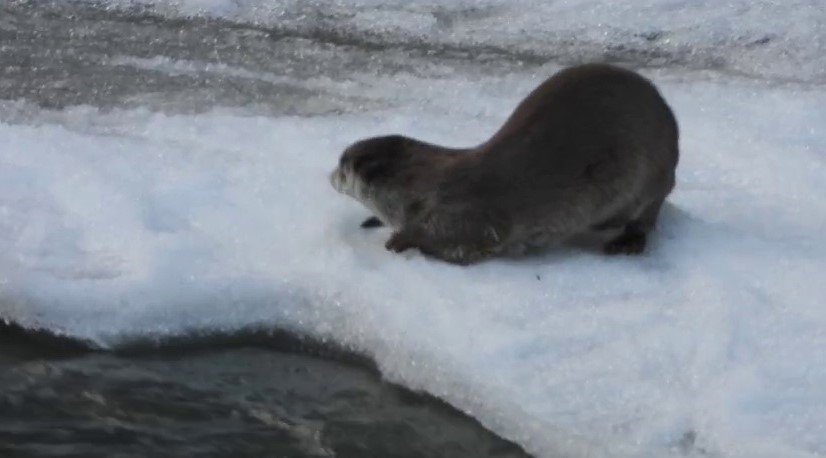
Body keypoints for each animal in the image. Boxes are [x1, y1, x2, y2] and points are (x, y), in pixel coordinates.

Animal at [328, 63, 676, 264]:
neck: (419, 191)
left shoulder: (465, 216)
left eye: (342, 165)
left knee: (646, 214)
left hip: (650, 174)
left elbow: (460, 242)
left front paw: (400, 240)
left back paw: (626, 243)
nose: (330, 176)